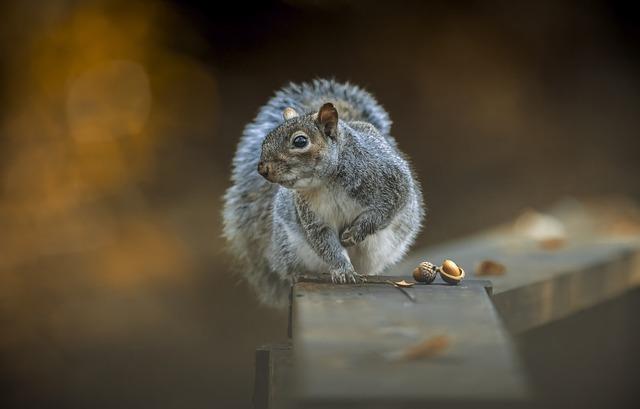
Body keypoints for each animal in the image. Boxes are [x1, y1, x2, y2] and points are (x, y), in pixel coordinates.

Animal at [222, 78, 422, 304]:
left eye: (300, 141)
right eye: (266, 138)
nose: (262, 168)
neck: (327, 182)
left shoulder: (393, 182)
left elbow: (384, 212)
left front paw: (354, 233)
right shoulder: (313, 218)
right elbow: (326, 243)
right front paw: (343, 270)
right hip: (289, 247)